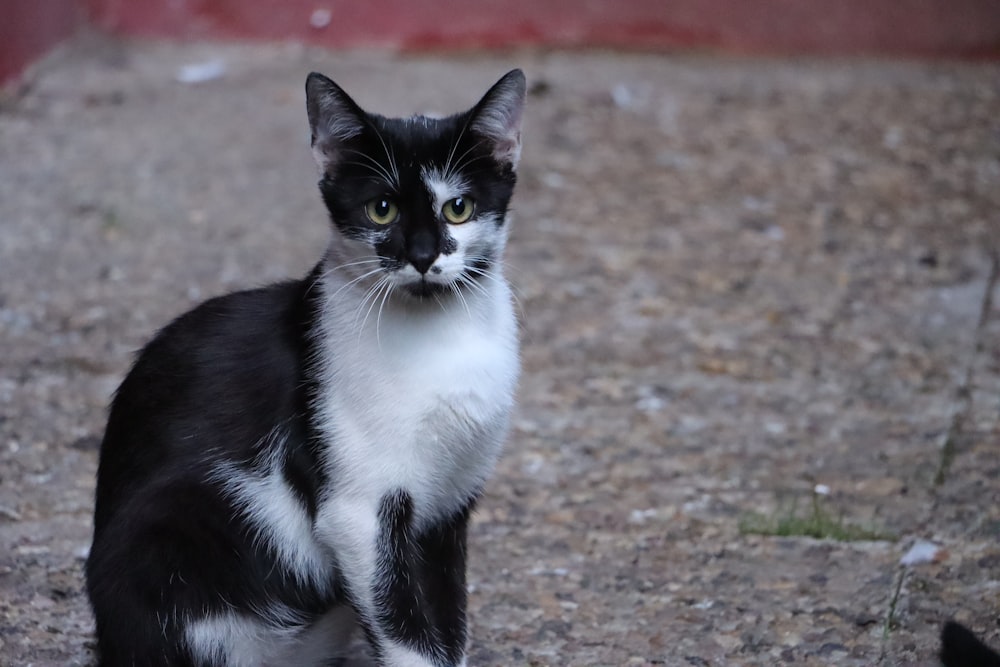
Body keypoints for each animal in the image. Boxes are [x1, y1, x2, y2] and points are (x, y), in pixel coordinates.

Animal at [87, 69, 528, 667]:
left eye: (457, 207)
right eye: (382, 209)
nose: (421, 256)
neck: (442, 337)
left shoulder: (449, 505)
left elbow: (448, 618)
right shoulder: (359, 512)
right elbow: (407, 632)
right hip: (165, 542)